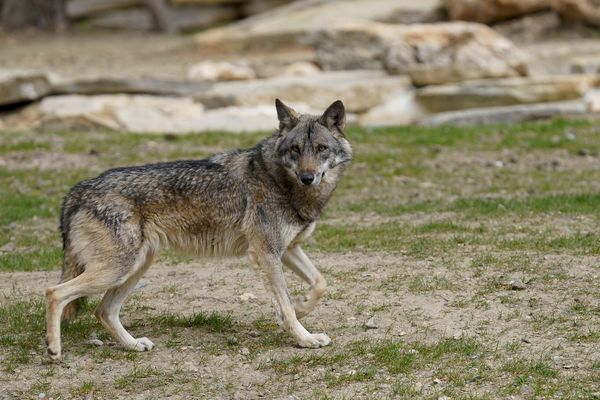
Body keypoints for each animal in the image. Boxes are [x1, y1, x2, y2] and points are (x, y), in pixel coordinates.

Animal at [45, 99, 352, 360]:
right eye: (296, 149)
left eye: (321, 148)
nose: (307, 177)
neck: (281, 181)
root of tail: (79, 189)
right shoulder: (266, 254)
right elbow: (286, 305)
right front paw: (305, 338)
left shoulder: (287, 250)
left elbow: (320, 283)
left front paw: (303, 308)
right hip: (116, 270)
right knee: (54, 292)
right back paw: (53, 349)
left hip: (134, 269)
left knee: (103, 311)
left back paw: (133, 345)